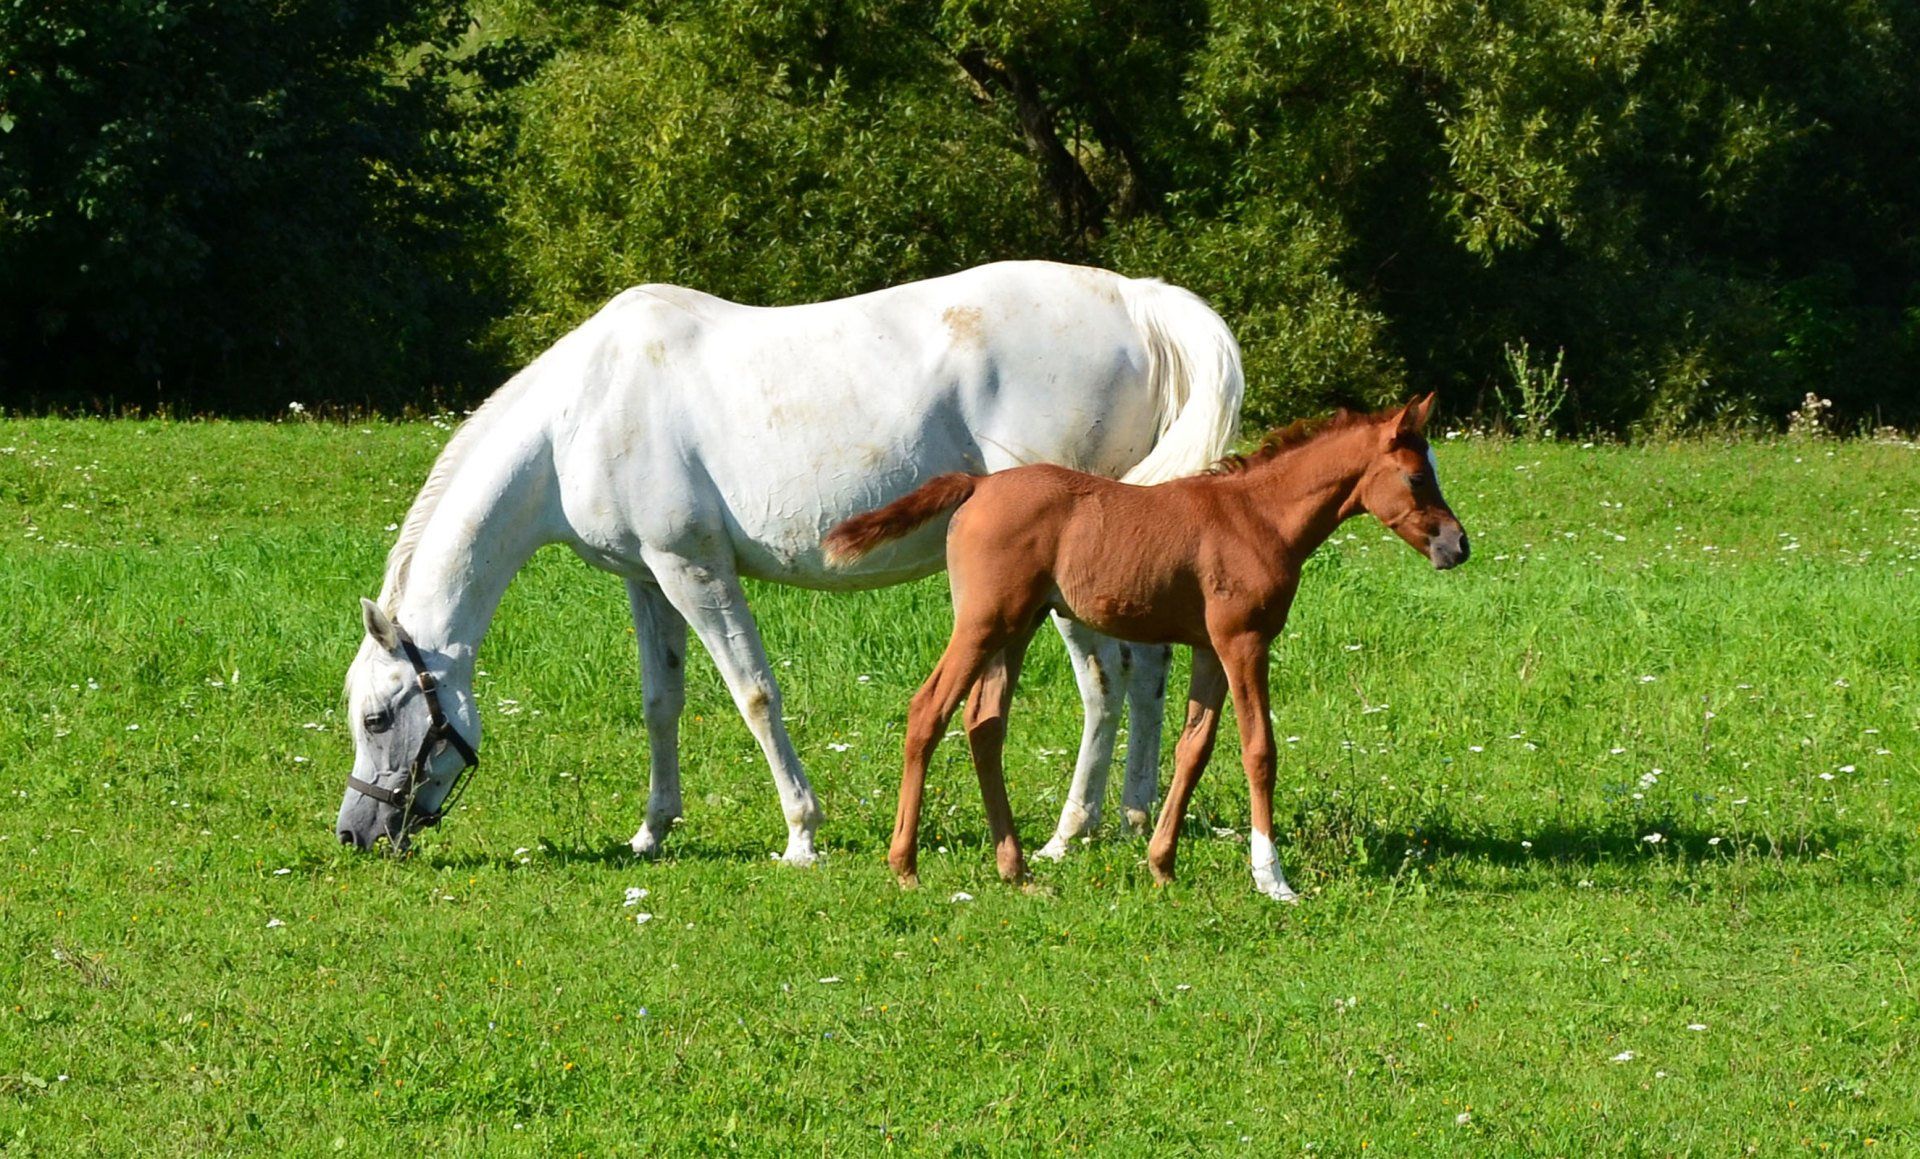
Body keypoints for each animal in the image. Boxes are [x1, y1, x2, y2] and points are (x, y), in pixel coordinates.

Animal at [335, 260, 1245, 861]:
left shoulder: (694, 569)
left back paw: (1067, 832)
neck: (579, 415)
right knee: (1147, 673)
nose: (356, 830)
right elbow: (661, 701)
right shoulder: (648, 580)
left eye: (378, 716)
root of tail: (1135, 301)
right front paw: (651, 829)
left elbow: (754, 694)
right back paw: (1132, 818)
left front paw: (801, 832)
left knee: (1105, 683)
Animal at [823, 394, 1468, 900]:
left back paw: (1018, 870)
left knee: (984, 725)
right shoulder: (1244, 642)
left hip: (1017, 627)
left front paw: (1162, 865)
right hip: (983, 623)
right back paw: (905, 866)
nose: (1458, 546)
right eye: (1417, 477)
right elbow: (1259, 750)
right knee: (928, 710)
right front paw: (1272, 878)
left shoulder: (1210, 648)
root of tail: (976, 485)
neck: (1256, 517)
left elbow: (1193, 748)